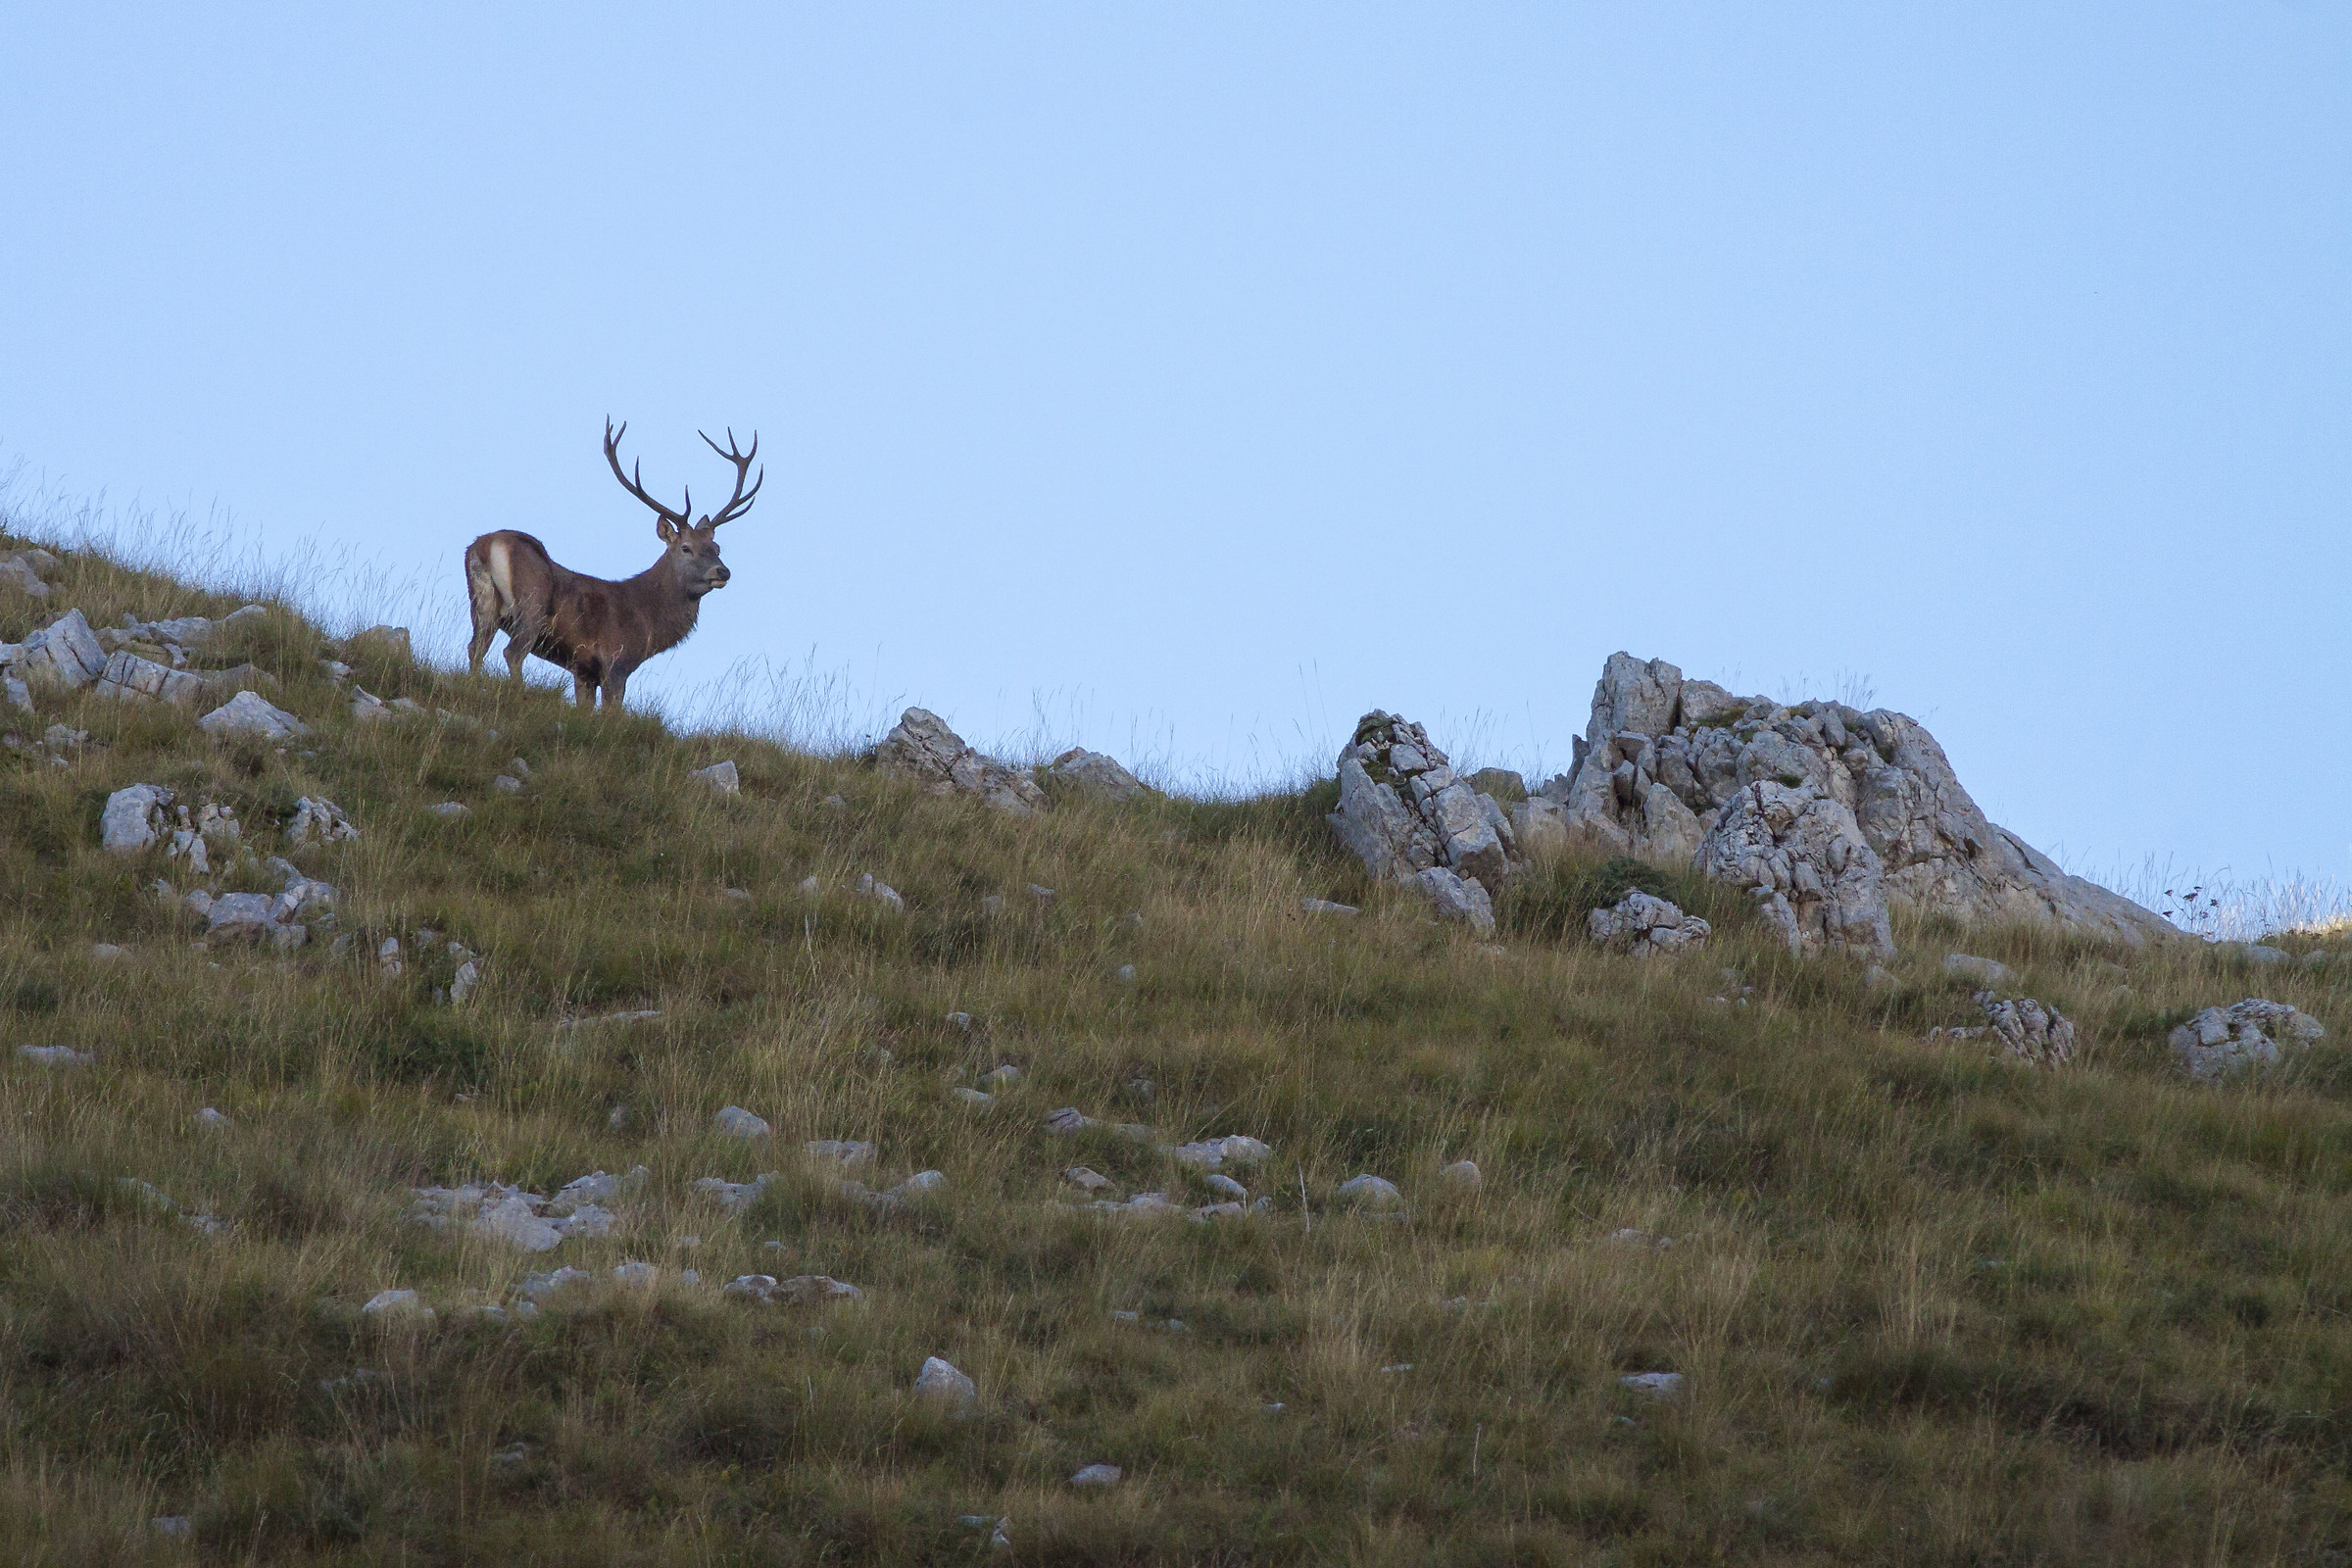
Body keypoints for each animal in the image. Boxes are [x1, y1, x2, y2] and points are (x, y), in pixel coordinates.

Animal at [464, 419, 761, 710]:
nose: (723, 571)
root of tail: (485, 545)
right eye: (686, 548)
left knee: (475, 647)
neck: (646, 619)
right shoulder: (615, 661)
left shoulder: (583, 670)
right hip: (531, 604)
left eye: (717, 548)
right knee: (512, 653)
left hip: (484, 604)